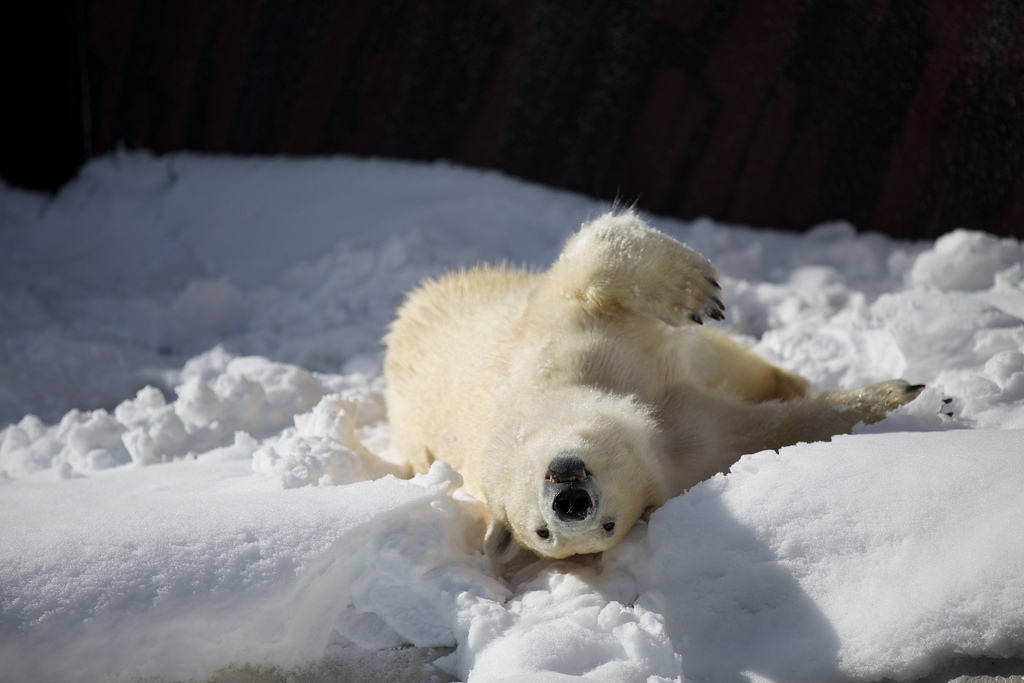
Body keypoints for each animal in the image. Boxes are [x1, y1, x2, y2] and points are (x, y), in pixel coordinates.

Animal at [382, 211, 921, 561]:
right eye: (543, 534)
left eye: (602, 521)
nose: (571, 505)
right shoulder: (691, 448)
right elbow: (771, 432)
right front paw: (903, 398)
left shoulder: (546, 349)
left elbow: (587, 266)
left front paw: (697, 289)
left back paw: (784, 375)